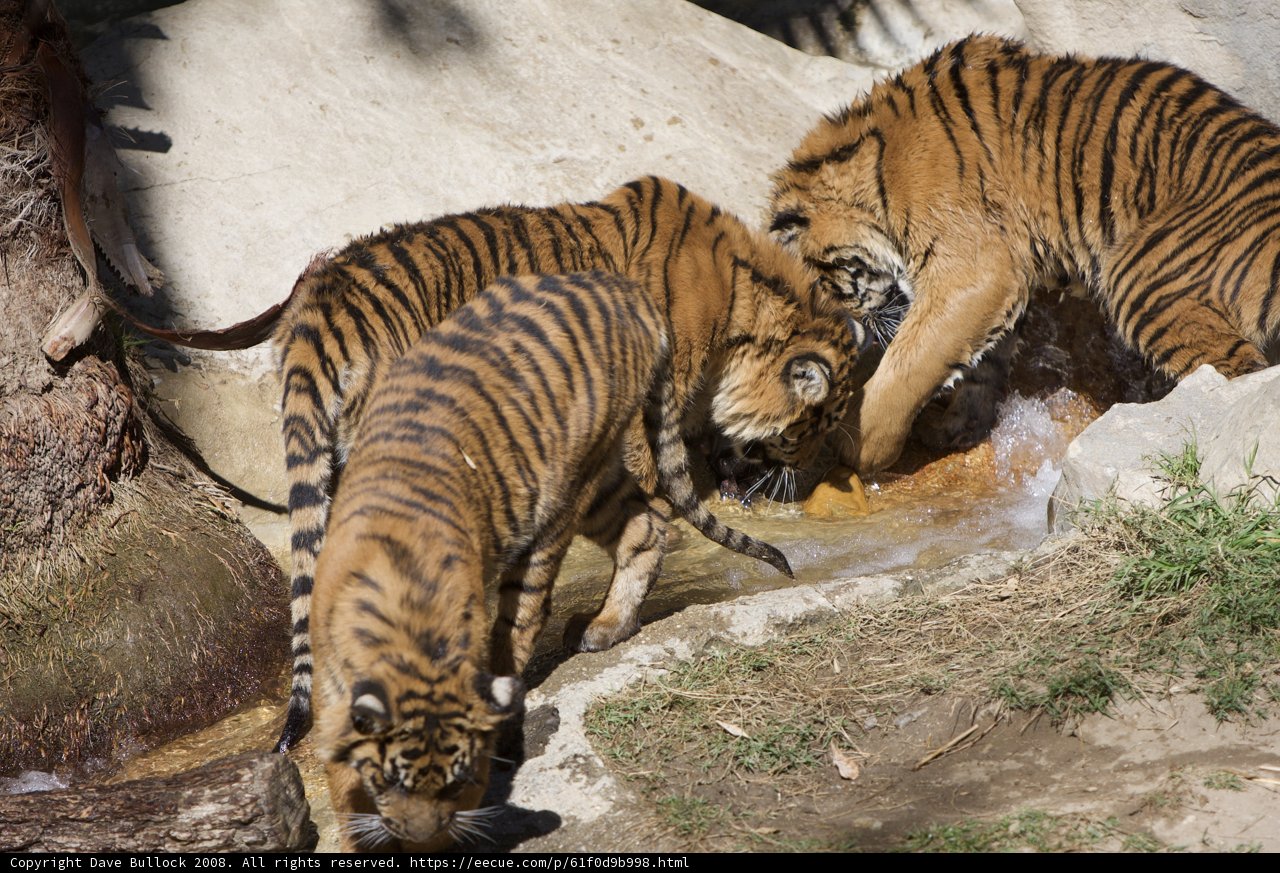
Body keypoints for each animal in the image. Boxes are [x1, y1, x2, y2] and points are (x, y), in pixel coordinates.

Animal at [276, 175, 866, 752]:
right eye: (812, 428)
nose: (799, 476)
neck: (745, 304)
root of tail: (319, 317)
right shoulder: (655, 398)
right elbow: (653, 481)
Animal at [313, 270, 802, 850]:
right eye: (393, 781)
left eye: (459, 784)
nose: (424, 836)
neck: (408, 627)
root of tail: (629, 290)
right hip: (598, 482)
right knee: (646, 527)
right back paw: (607, 625)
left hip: (564, 495)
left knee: (529, 613)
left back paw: (588, 635)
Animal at [768, 34, 1280, 474]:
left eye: (824, 287)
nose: (860, 333)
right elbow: (976, 361)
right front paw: (954, 427)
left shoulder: (974, 268)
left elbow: (909, 365)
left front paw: (857, 444)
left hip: (1141, 281)